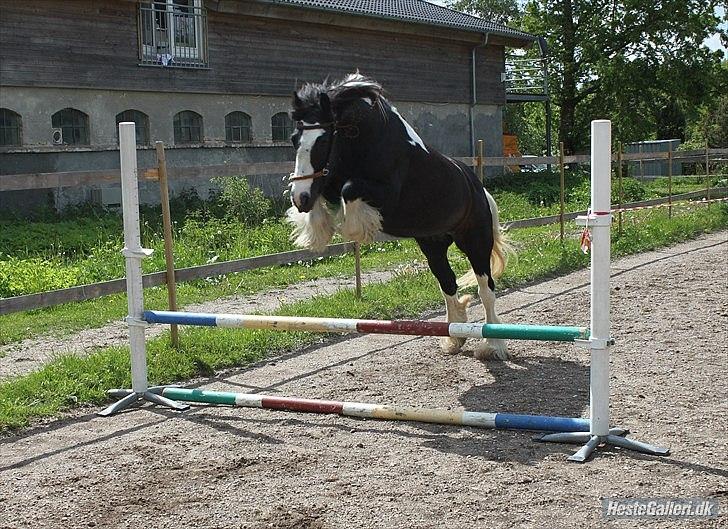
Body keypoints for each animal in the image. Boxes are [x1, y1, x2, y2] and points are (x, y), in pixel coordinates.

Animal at [288, 72, 510, 358]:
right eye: (294, 139)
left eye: (323, 140)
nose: (300, 197)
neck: (367, 137)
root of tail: (479, 190)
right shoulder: (332, 180)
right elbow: (328, 190)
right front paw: (316, 231)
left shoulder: (386, 194)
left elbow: (350, 188)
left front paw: (356, 228)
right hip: (433, 246)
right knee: (448, 283)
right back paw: (454, 337)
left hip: (475, 242)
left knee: (486, 290)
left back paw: (494, 345)